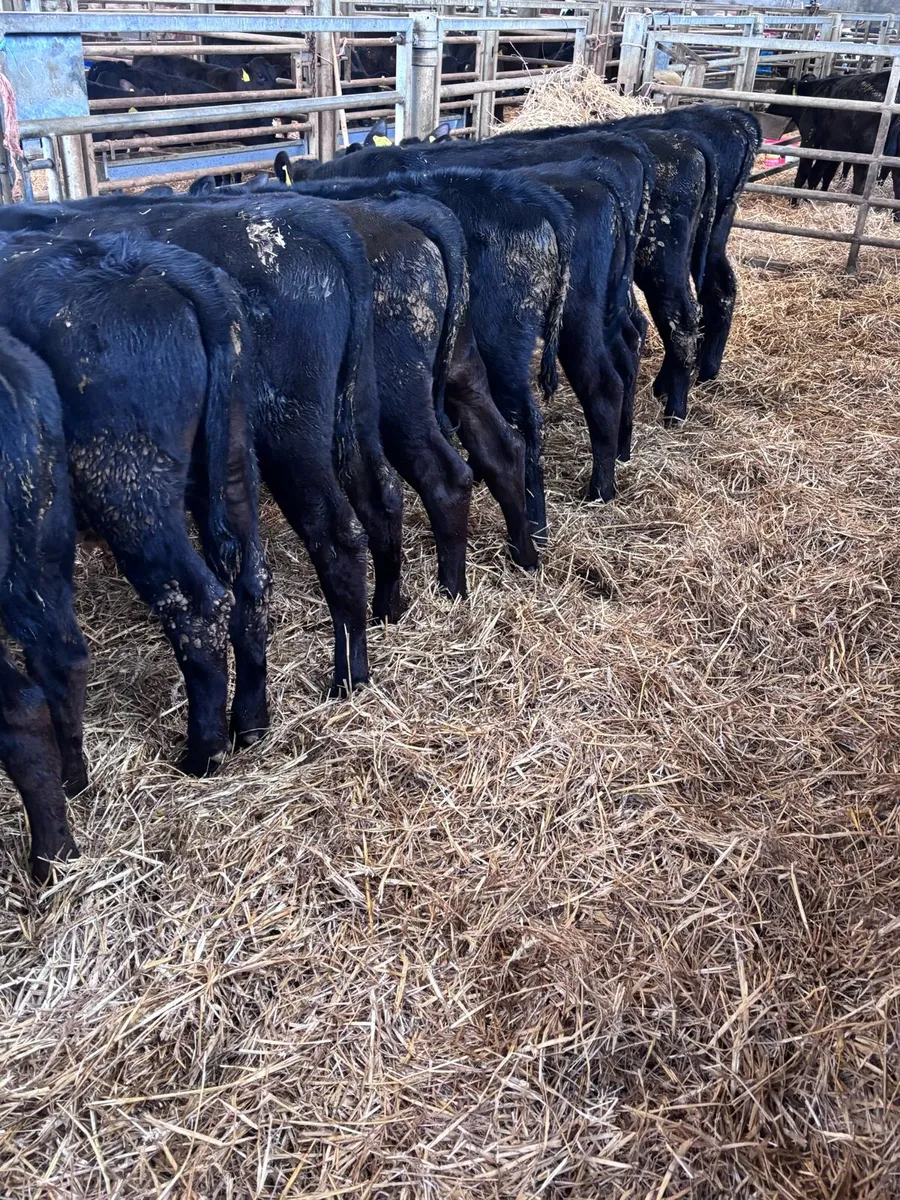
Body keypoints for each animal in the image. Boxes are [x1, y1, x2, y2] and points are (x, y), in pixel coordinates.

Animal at [0, 231, 268, 778]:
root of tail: (152, 264)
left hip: (129, 492)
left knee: (196, 607)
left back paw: (201, 755)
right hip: (233, 464)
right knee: (249, 582)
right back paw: (250, 725)